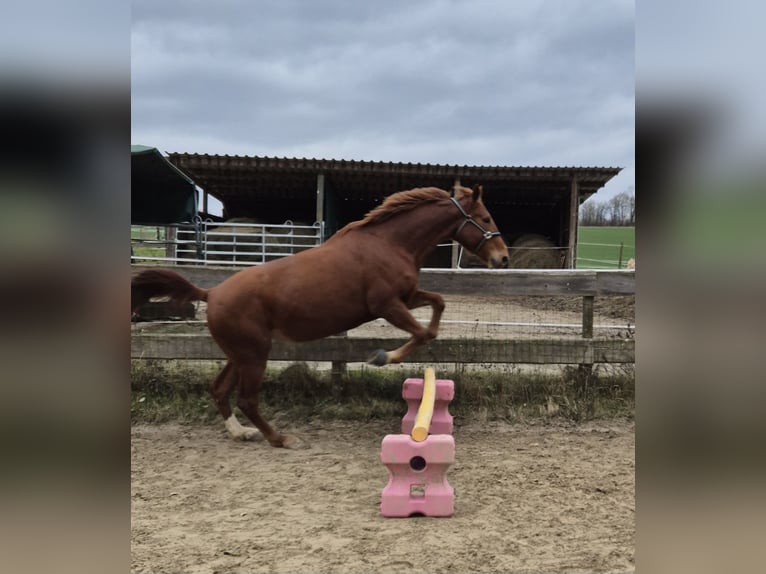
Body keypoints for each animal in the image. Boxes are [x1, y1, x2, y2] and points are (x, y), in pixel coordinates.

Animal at [134, 187, 510, 448]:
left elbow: (439, 304)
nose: (503, 258)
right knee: (246, 398)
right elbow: (423, 334)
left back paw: (240, 433)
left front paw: (385, 355)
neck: (388, 243)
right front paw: (381, 356)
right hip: (254, 354)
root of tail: (210, 294)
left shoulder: (407, 298)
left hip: (239, 354)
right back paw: (280, 438)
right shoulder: (387, 305)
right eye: (486, 218)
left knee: (219, 389)